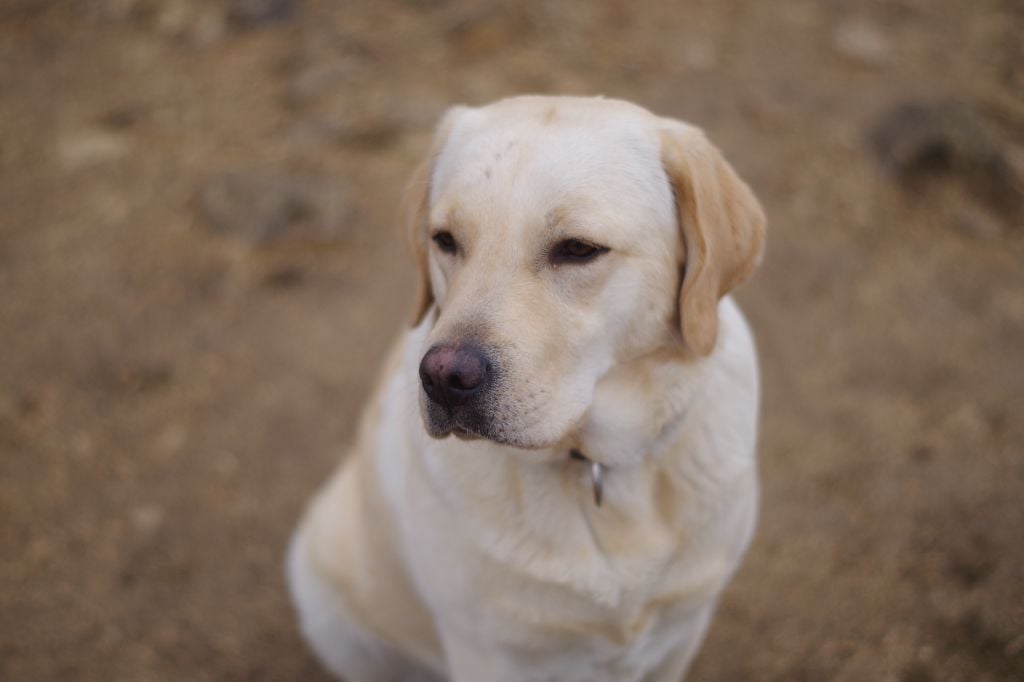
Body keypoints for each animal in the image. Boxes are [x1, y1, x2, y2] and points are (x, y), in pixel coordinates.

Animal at [287, 95, 766, 682]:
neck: (595, 468)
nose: (443, 377)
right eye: (445, 240)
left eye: (578, 248)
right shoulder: (489, 655)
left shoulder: (681, 633)